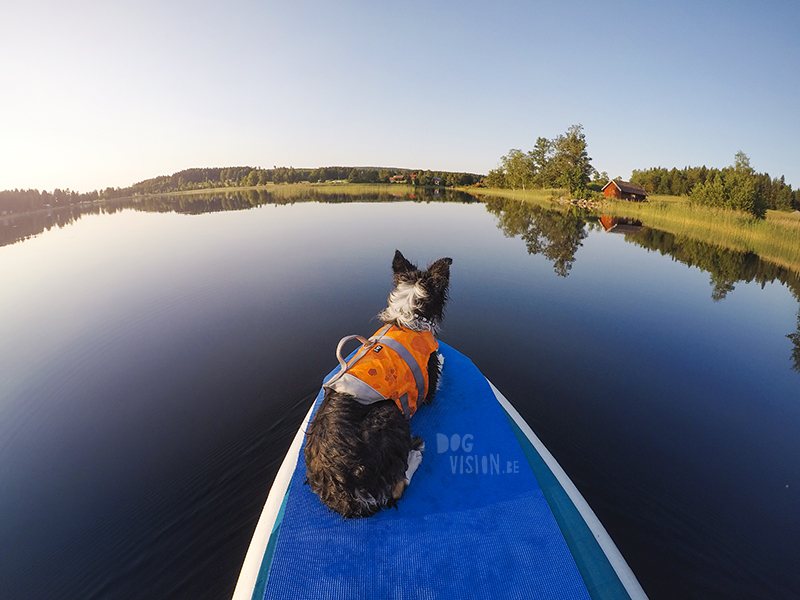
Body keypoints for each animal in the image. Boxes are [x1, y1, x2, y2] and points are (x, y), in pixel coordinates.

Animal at [304, 251, 450, 516]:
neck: (406, 317)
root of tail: (343, 490)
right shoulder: (429, 379)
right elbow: (438, 372)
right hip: (389, 413)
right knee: (398, 486)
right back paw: (416, 453)